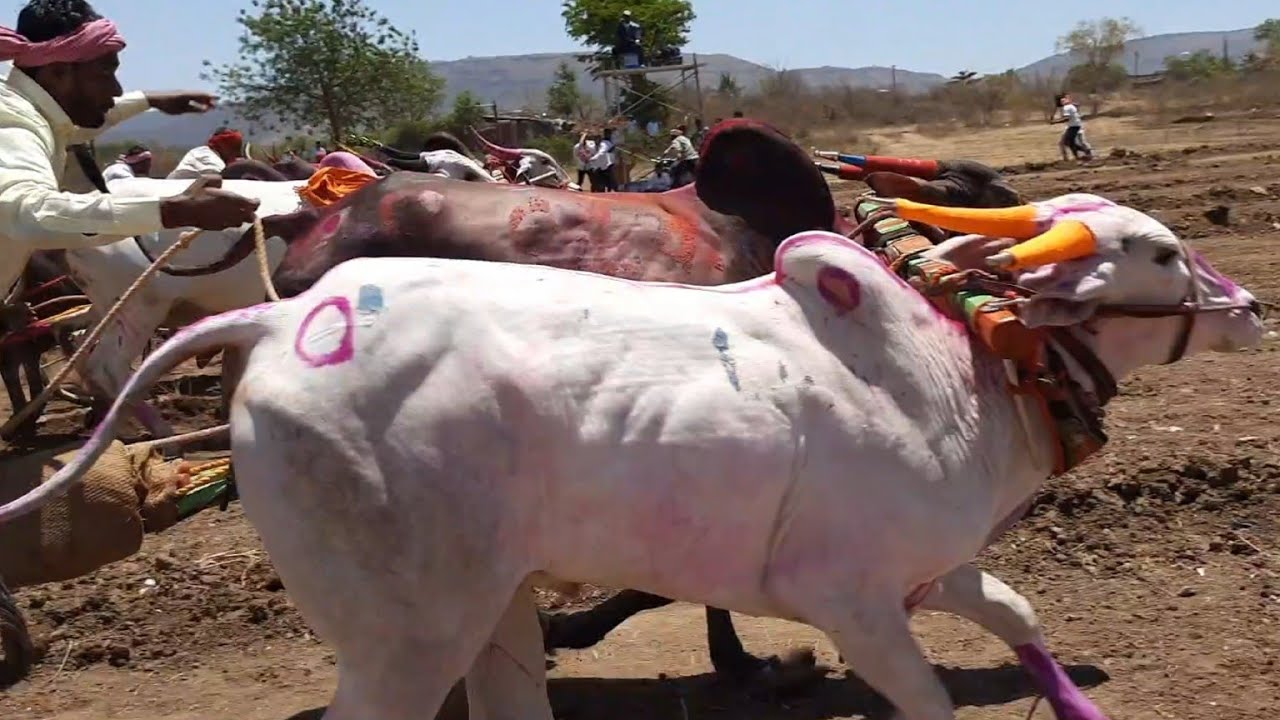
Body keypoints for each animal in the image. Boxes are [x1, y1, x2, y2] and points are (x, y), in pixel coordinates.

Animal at [2, 193, 1264, 720]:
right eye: (1154, 252)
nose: (1250, 309)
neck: (966, 361)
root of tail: (276, 320)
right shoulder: (850, 598)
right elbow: (923, 702)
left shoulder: (931, 569)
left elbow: (1017, 615)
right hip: (403, 637)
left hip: (488, 606)